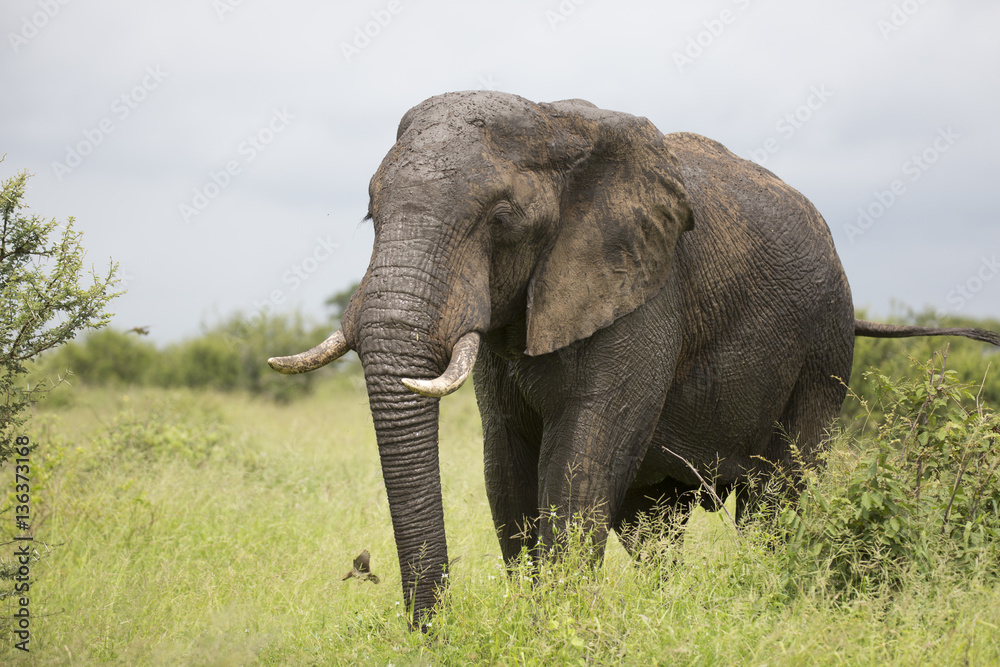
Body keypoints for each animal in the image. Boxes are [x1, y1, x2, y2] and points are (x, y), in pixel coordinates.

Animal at [268, 91, 1000, 627]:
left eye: (502, 219)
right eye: (370, 213)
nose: (433, 630)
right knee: (653, 523)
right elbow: (506, 465)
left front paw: (554, 630)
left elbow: (580, 459)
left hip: (823, 349)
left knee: (774, 500)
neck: (552, 123)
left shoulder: (647, 292)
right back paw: (663, 605)